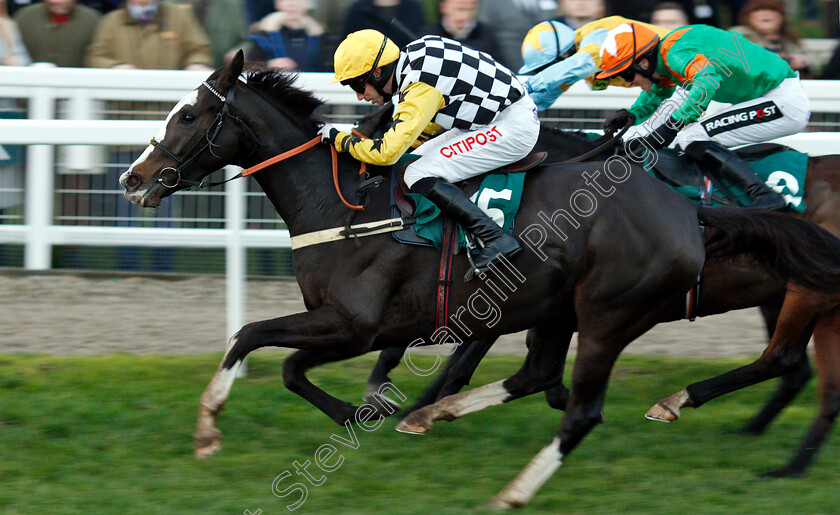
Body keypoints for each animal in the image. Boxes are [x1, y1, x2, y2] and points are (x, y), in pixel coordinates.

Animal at [121, 53, 840, 508]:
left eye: (188, 116)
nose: (132, 178)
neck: (346, 204)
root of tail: (687, 211)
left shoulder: (356, 323)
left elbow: (254, 339)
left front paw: (210, 428)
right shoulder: (374, 324)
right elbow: (292, 364)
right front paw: (369, 409)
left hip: (621, 311)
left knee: (595, 403)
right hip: (573, 309)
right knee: (548, 375)